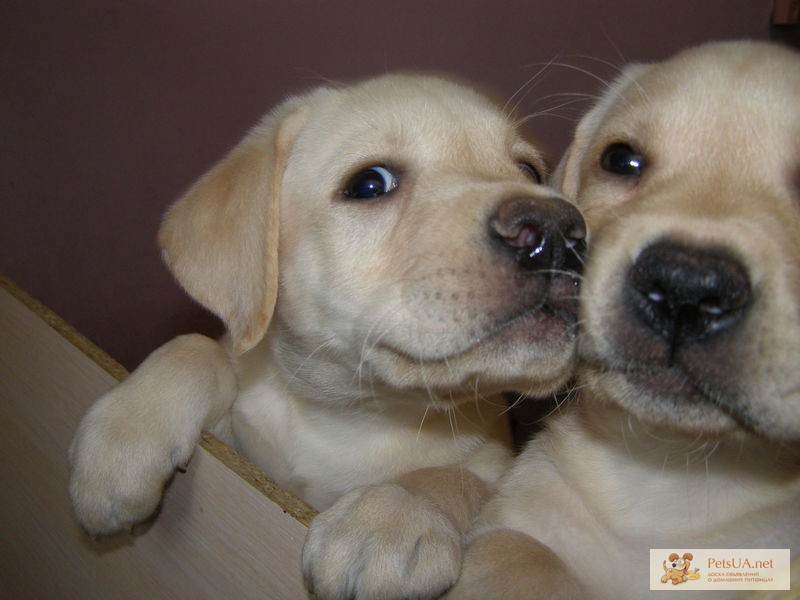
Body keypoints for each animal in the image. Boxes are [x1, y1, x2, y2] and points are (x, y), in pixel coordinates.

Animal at [70, 72, 588, 596]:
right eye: (369, 183)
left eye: (530, 171)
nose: (559, 233)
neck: (354, 414)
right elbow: (199, 348)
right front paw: (125, 437)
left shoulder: (497, 464)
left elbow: (457, 478)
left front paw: (393, 512)